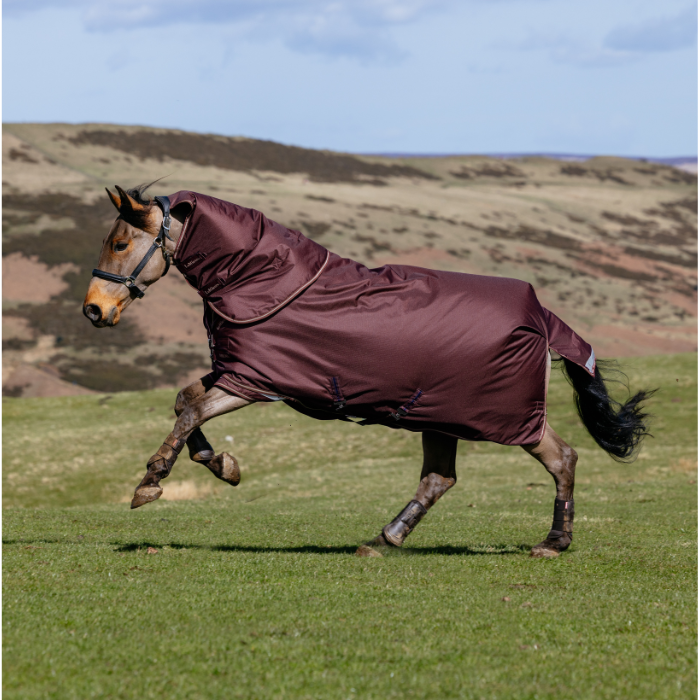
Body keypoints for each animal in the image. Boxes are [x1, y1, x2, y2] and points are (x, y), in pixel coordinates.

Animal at [83, 184, 652, 558]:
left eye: (119, 243)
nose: (93, 310)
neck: (260, 280)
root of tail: (541, 316)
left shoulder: (253, 380)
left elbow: (191, 410)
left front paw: (152, 481)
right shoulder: (238, 371)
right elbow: (185, 402)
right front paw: (222, 463)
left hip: (504, 419)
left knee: (561, 458)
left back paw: (553, 542)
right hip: (438, 416)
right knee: (439, 479)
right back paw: (384, 539)